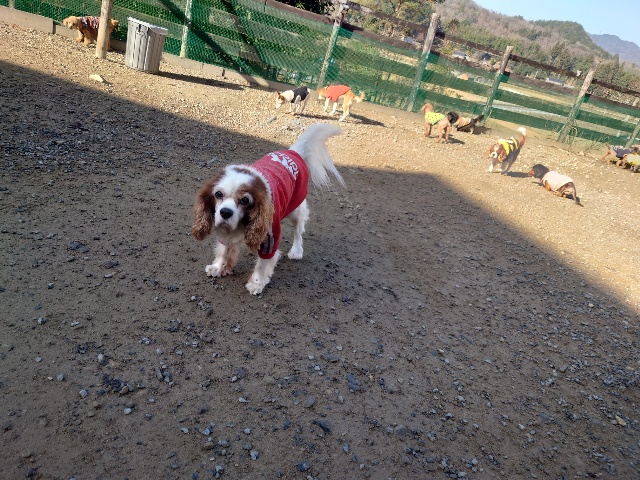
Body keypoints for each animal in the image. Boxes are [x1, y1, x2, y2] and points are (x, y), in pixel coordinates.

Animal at [192, 124, 345, 295]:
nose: (225, 212)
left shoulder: (269, 238)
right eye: (218, 194)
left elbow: (262, 264)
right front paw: (219, 267)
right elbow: (224, 250)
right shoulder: (226, 232)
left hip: (296, 210)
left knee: (299, 231)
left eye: (245, 200)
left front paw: (256, 284)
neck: (242, 224)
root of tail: (294, 152)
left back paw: (297, 251)